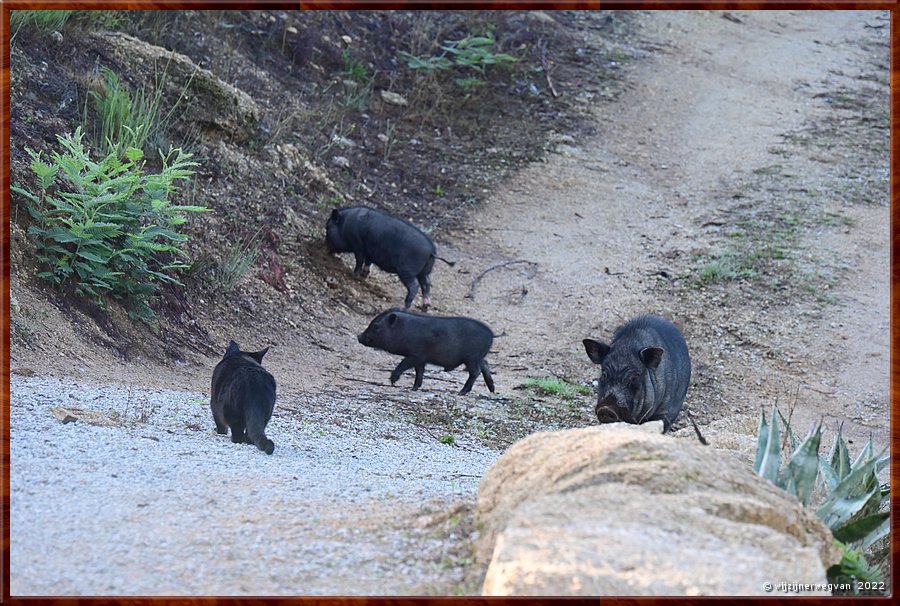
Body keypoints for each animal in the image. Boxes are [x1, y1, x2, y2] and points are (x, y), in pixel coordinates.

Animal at [326, 209, 458, 314]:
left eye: (327, 228)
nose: (324, 248)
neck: (344, 224)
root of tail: (431, 251)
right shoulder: (369, 252)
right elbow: (368, 262)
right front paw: (364, 275)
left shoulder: (358, 246)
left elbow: (359, 260)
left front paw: (354, 275)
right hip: (425, 272)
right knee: (426, 284)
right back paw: (424, 308)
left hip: (406, 271)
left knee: (414, 286)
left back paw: (401, 308)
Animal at [358, 312, 496, 396]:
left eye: (375, 326)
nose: (359, 336)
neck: (403, 330)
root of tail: (491, 335)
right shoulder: (421, 359)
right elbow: (419, 372)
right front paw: (413, 388)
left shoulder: (416, 355)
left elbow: (403, 365)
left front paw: (393, 382)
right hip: (478, 358)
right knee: (485, 364)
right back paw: (492, 390)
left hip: (472, 358)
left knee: (476, 372)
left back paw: (461, 392)